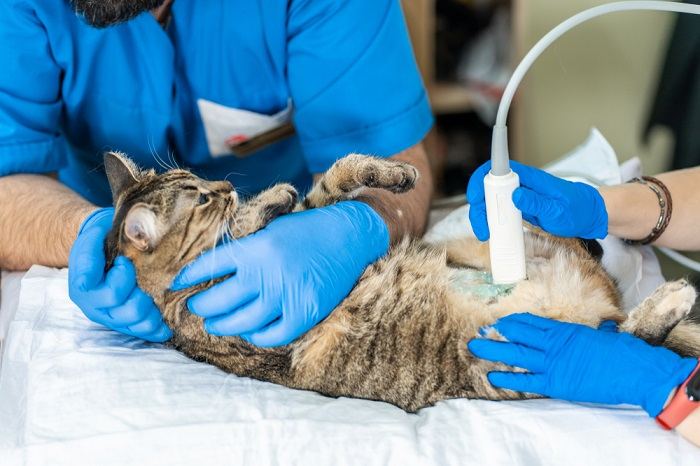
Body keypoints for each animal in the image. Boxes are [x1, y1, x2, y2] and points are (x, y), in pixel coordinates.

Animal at [101, 152, 700, 412]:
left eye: (197, 177)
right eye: (200, 195)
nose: (224, 185)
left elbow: (331, 182)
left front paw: (283, 195)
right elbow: (287, 209)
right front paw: (261, 205)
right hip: (514, 359)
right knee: (619, 343)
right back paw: (668, 300)